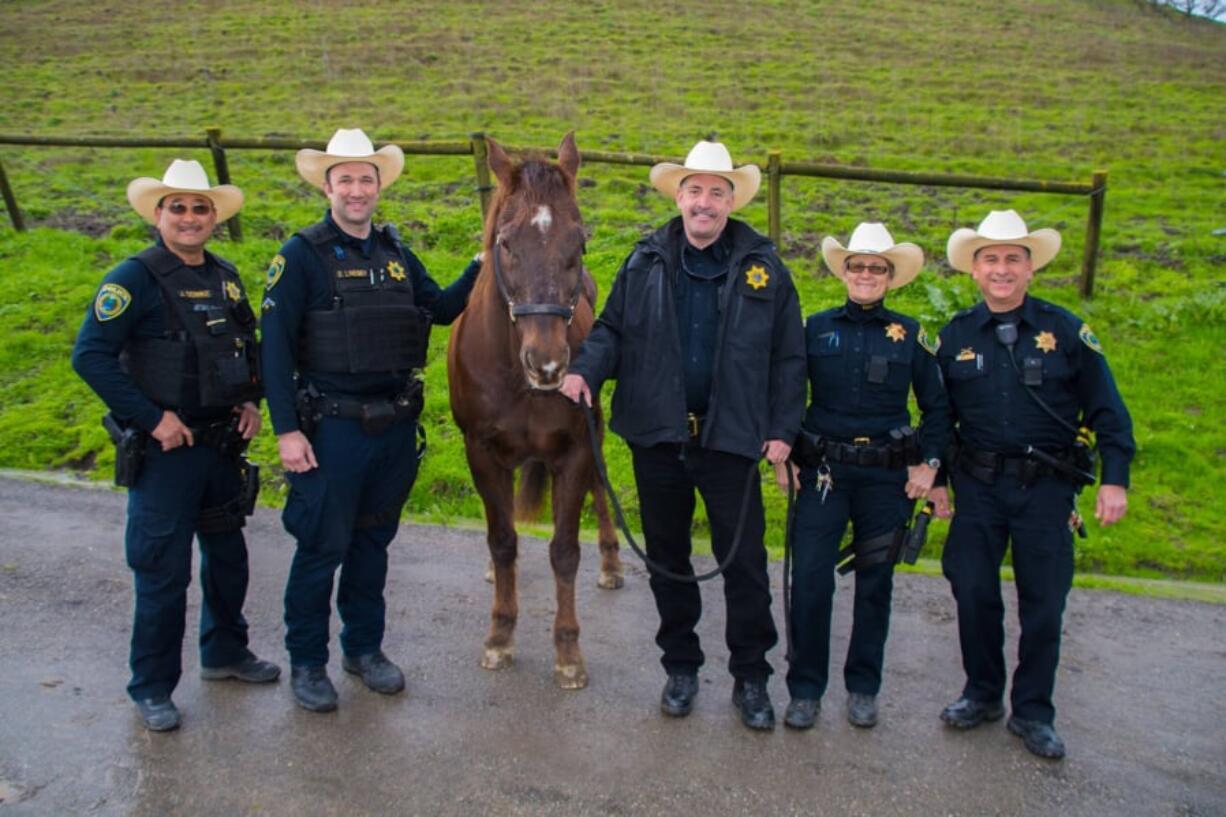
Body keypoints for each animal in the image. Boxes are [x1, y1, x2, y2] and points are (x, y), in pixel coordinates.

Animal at [446, 131, 622, 686]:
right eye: (505, 243)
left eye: (580, 243)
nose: (546, 364)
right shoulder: (481, 453)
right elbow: (502, 541)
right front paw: (500, 636)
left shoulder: (575, 450)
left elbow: (564, 551)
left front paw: (567, 652)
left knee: (600, 490)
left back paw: (612, 564)